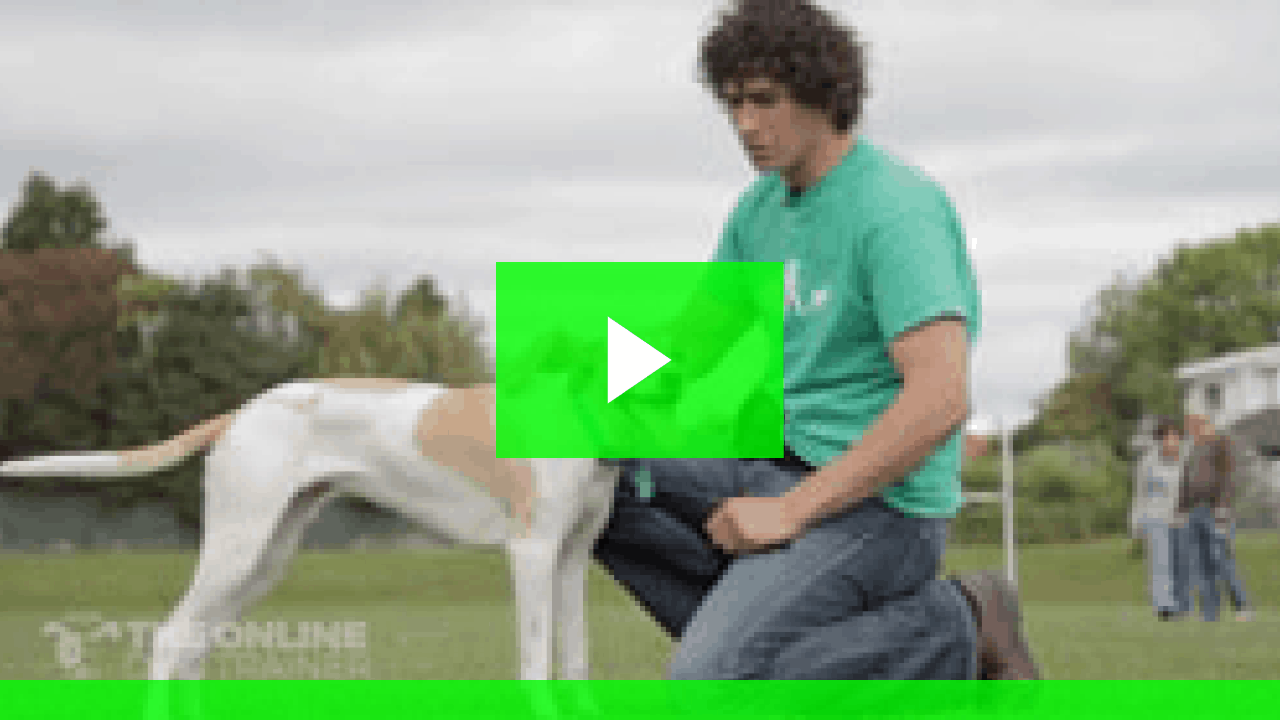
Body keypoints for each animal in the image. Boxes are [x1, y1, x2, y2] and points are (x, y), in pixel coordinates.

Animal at [0, 378, 621, 680]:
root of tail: (243, 411)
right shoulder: (532, 552)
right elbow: (537, 663)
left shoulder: (570, 561)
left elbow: (577, 659)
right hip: (236, 549)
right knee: (170, 640)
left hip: (262, 563)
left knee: (194, 648)